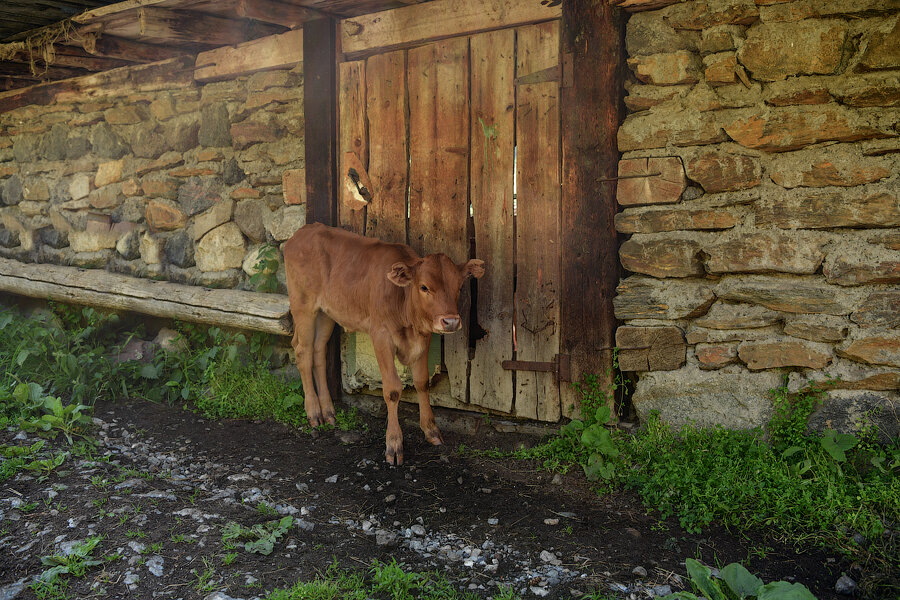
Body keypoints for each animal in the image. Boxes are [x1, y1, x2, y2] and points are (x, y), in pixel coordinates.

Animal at [286, 224, 486, 464]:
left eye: (459, 287)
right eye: (424, 287)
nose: (451, 321)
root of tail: (303, 231)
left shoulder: (424, 336)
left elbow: (421, 382)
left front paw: (431, 430)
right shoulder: (380, 336)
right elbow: (392, 389)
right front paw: (394, 443)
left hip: (326, 313)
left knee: (318, 351)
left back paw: (328, 411)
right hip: (303, 306)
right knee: (302, 351)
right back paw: (314, 412)